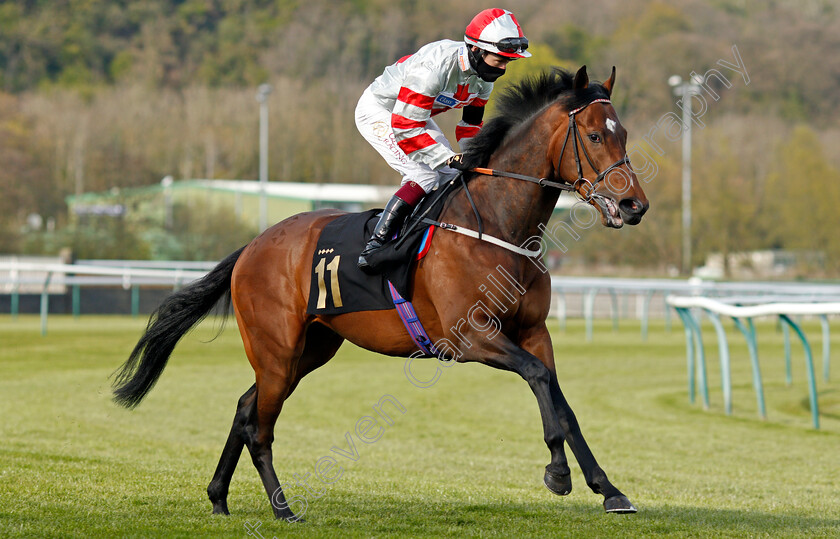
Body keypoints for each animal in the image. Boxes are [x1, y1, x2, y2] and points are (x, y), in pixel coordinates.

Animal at [111, 65, 648, 520]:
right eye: (595, 135)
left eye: (623, 133)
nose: (633, 204)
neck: (497, 226)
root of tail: (253, 245)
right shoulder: (472, 337)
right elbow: (538, 378)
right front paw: (558, 473)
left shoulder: (533, 332)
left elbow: (560, 399)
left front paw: (608, 489)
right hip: (277, 349)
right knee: (260, 426)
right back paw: (282, 509)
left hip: (310, 348)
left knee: (246, 407)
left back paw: (219, 497)